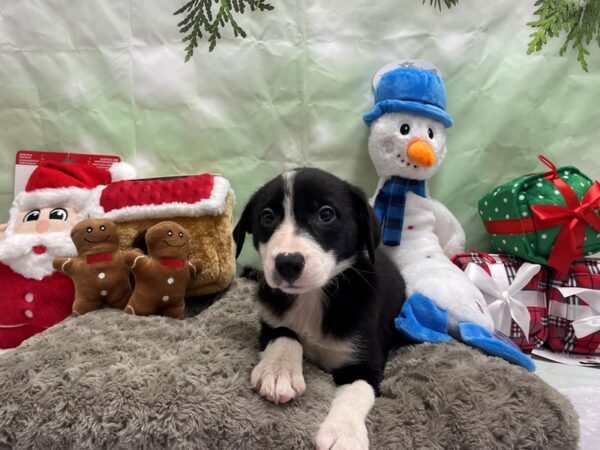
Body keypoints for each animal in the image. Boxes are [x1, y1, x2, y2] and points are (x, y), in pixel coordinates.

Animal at [234, 169, 408, 450]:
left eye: (326, 214)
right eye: (267, 216)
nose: (287, 263)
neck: (312, 297)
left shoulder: (366, 360)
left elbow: (358, 390)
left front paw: (345, 434)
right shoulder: (269, 321)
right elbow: (286, 333)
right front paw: (279, 372)